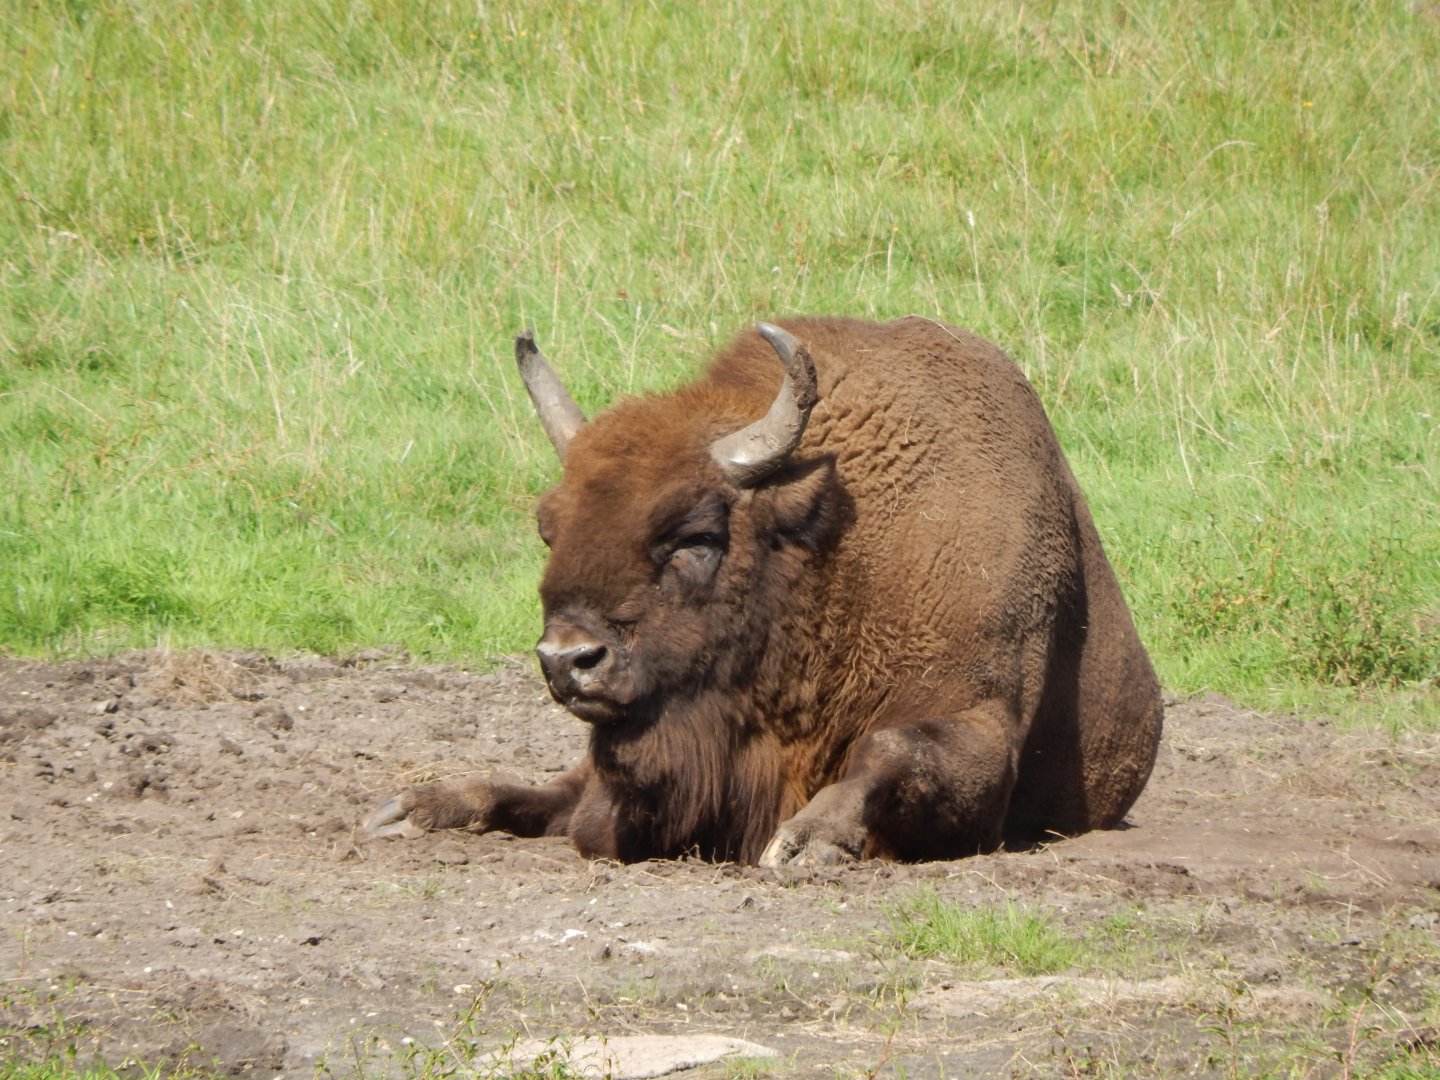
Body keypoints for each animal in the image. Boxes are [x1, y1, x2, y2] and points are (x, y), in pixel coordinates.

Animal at [369, 316, 1163, 866]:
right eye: (548, 527)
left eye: (696, 536)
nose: (568, 659)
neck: (828, 554)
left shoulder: (980, 728)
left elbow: (893, 750)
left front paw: (806, 841)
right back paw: (413, 807)